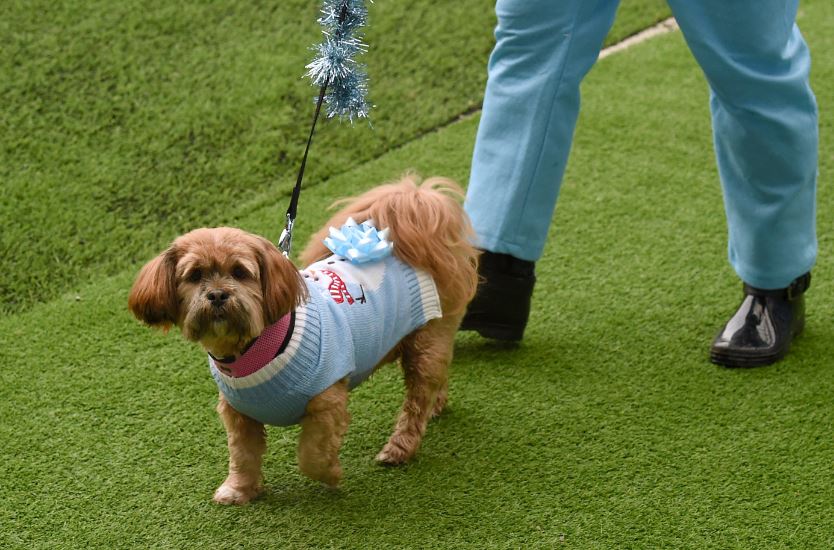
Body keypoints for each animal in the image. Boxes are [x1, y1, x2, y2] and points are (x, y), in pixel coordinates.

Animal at [124, 176, 474, 504]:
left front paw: (330, 474)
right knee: (434, 380)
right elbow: (242, 456)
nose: (218, 295)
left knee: (416, 399)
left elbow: (311, 454)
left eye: (239, 272)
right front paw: (239, 489)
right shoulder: (239, 416)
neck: (253, 349)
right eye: (195, 275)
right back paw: (436, 406)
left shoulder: (326, 401)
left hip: (427, 338)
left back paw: (400, 448)